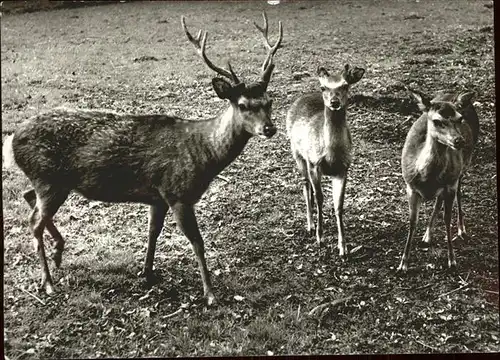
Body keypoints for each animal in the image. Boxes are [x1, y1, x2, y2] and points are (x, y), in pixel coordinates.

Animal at [1, 12, 284, 306]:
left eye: (269, 101)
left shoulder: (157, 196)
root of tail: (11, 140)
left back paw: (58, 252)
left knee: (27, 196)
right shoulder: (177, 192)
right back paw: (47, 282)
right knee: (34, 221)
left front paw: (147, 272)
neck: (203, 153)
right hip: (48, 179)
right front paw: (209, 294)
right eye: (242, 105)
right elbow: (197, 242)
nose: (269, 128)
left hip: (51, 181)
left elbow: (153, 232)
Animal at [288, 64, 366, 256]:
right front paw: (320, 237)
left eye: (345, 85)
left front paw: (343, 247)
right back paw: (310, 225)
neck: (331, 153)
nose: (334, 102)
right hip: (298, 154)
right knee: (305, 185)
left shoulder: (343, 168)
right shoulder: (314, 164)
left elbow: (339, 205)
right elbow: (320, 198)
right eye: (324, 87)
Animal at [398, 90, 480, 272]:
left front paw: (452, 260)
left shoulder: (450, 184)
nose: (459, 140)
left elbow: (447, 219)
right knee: (438, 200)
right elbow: (412, 222)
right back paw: (427, 236)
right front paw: (403, 264)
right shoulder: (410, 187)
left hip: (463, 168)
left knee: (458, 193)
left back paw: (461, 229)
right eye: (437, 121)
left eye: (459, 119)